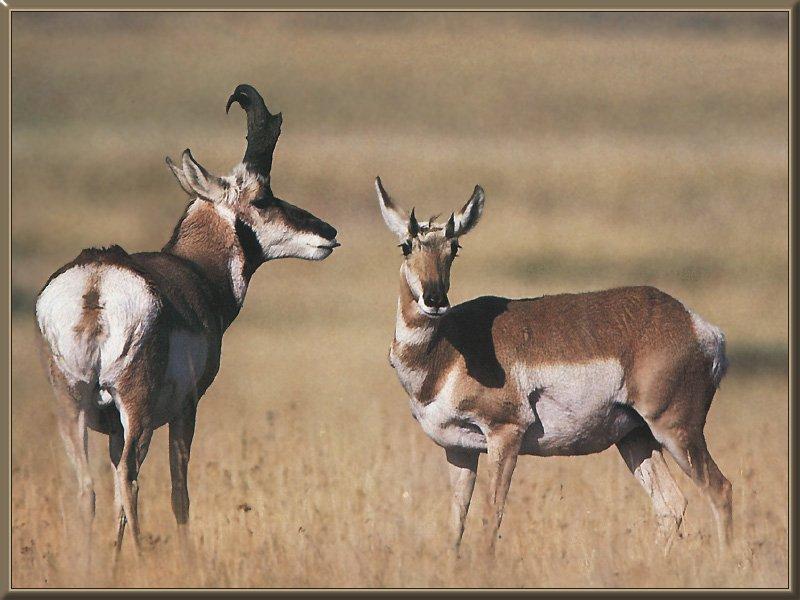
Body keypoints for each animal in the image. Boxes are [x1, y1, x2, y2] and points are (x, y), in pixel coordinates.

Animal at [36, 83, 338, 556]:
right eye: (264, 197)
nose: (329, 233)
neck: (192, 269)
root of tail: (96, 280)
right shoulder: (186, 407)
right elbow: (180, 491)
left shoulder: (114, 429)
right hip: (136, 409)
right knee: (130, 478)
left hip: (74, 406)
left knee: (90, 487)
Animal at [376, 177, 732, 552]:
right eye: (406, 245)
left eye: (454, 248)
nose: (435, 300)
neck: (449, 350)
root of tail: (696, 325)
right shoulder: (458, 450)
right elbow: (455, 526)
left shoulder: (505, 435)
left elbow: (491, 518)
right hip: (636, 438)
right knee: (671, 504)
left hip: (676, 431)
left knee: (720, 490)